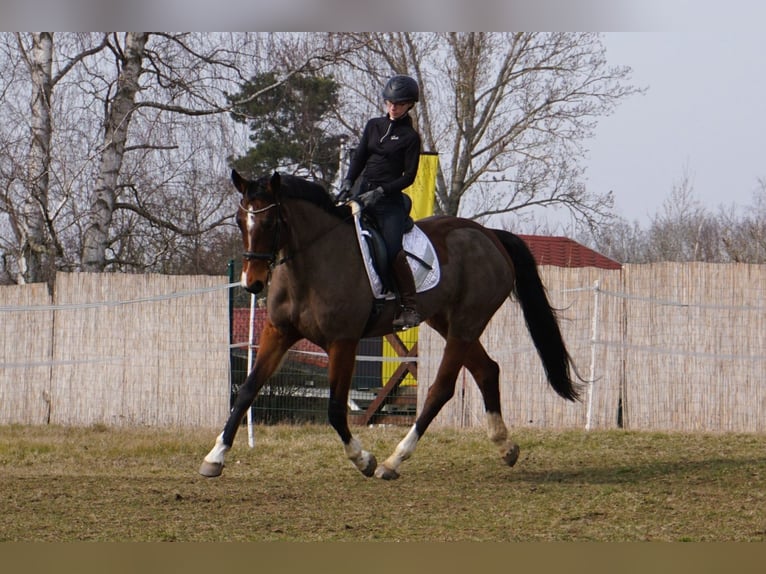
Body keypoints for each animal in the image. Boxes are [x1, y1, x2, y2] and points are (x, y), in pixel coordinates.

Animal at [200, 171, 584, 482]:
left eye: (269, 223)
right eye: (240, 221)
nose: (252, 283)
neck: (308, 267)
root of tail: (489, 235)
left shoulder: (343, 342)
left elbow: (335, 409)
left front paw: (363, 459)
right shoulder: (278, 333)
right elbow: (246, 391)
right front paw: (214, 458)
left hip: (465, 324)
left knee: (440, 390)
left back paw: (393, 460)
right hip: (446, 322)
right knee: (488, 370)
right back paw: (505, 447)